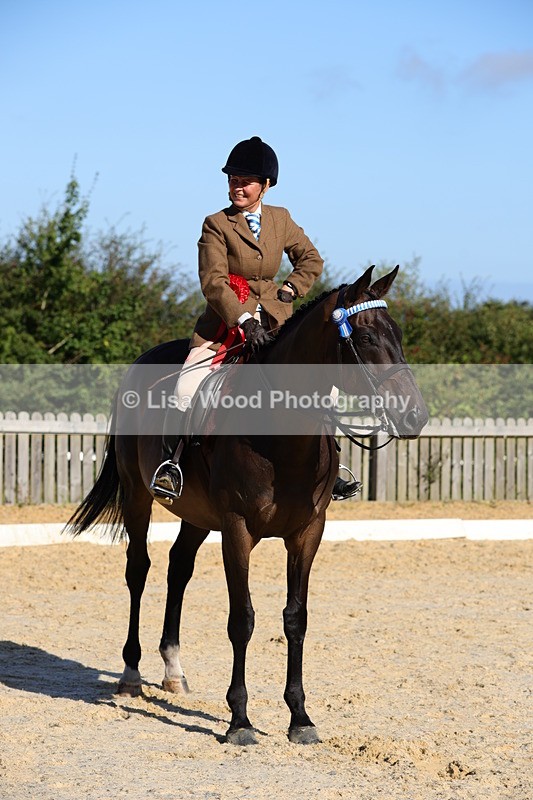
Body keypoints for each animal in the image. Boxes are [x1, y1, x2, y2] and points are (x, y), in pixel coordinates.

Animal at [66, 265, 428, 746]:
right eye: (367, 338)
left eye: (399, 335)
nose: (415, 416)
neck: (283, 436)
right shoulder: (237, 529)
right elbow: (242, 619)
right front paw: (238, 720)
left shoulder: (308, 533)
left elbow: (296, 619)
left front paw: (299, 717)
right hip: (138, 494)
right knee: (138, 569)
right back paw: (130, 673)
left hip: (198, 515)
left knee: (178, 568)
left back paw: (173, 671)